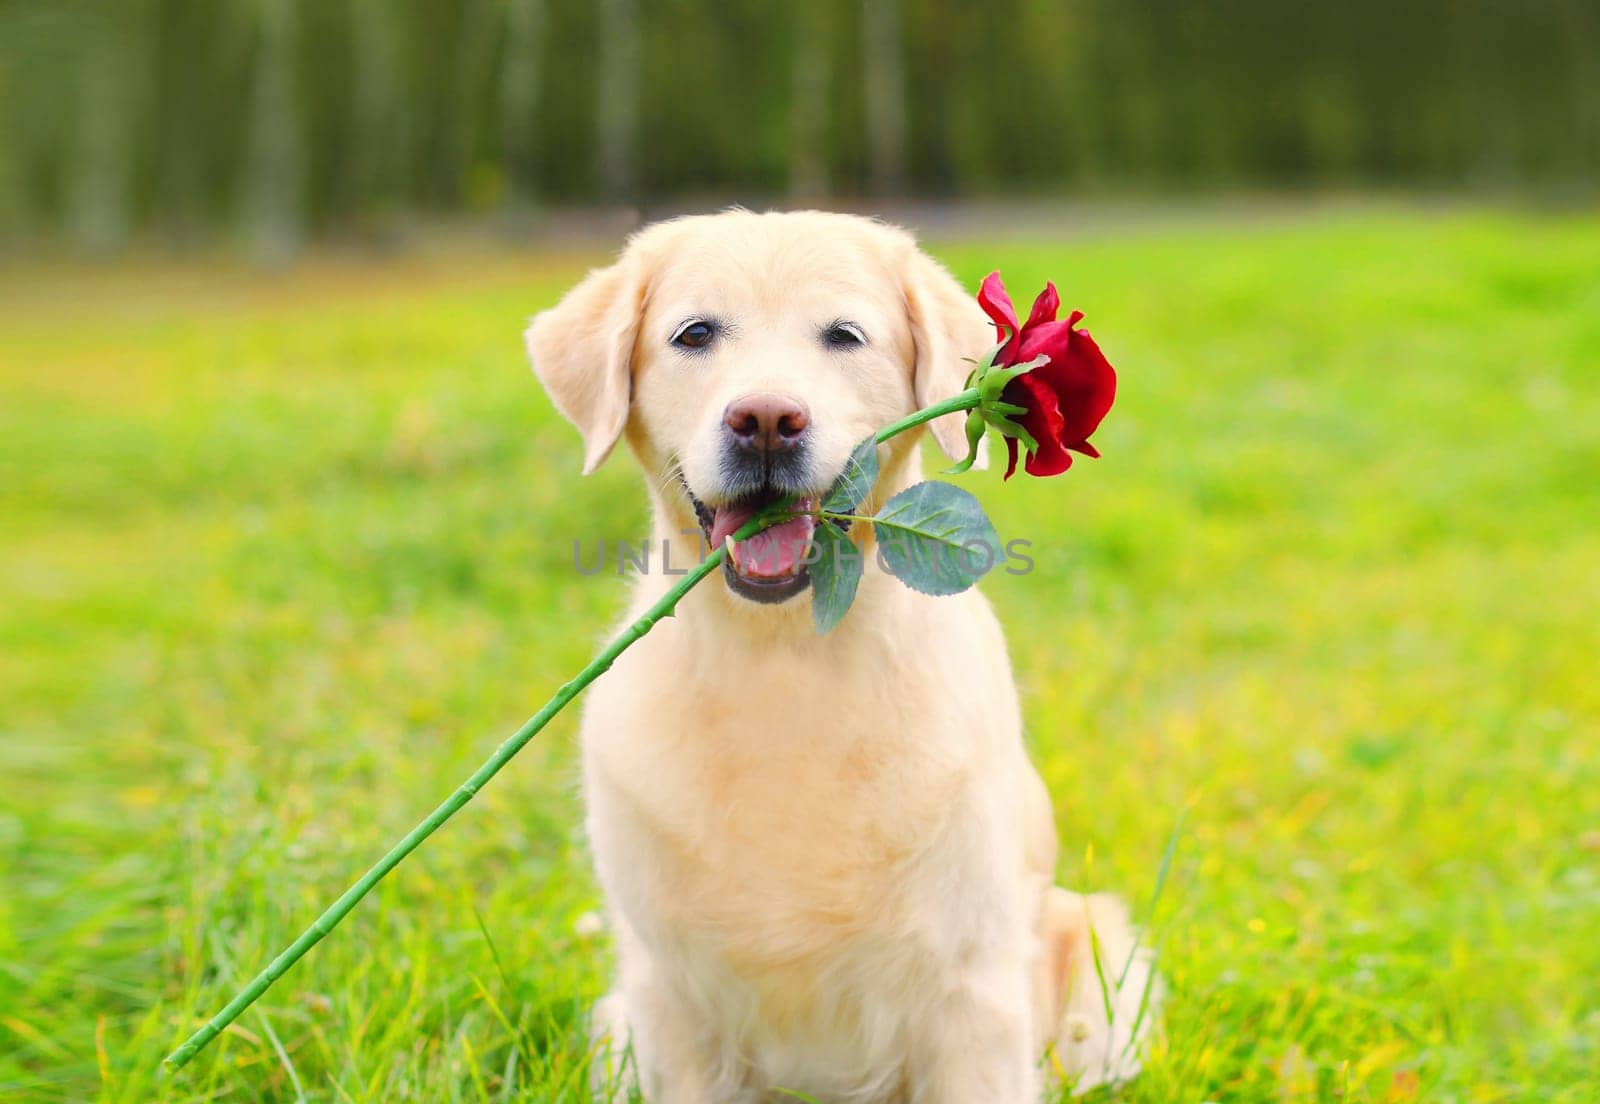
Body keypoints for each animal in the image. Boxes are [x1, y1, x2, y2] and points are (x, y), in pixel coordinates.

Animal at [531, 211, 1158, 1094]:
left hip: (1100, 959)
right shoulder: (669, 997)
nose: (765, 420)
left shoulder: (973, 986)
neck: (786, 650)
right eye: (694, 334)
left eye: (843, 335)